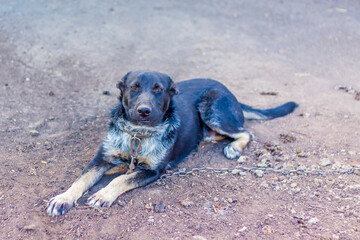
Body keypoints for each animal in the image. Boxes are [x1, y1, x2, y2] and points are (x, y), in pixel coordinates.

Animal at [45, 70, 298, 216]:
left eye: (158, 90)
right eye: (134, 87)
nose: (144, 111)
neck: (138, 134)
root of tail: (228, 90)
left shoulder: (154, 171)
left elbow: (123, 178)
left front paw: (103, 194)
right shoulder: (101, 159)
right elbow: (80, 180)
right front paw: (63, 198)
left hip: (212, 106)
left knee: (245, 132)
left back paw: (234, 147)